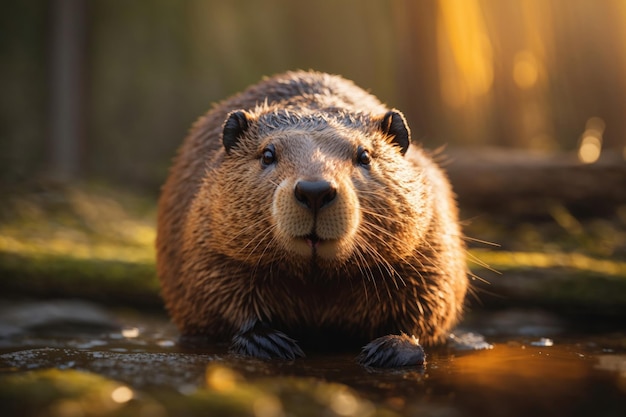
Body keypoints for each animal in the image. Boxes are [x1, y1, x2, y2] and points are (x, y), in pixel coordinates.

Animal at [157, 70, 464, 366]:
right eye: (267, 154)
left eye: (364, 155)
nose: (315, 191)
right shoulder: (203, 232)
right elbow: (211, 290)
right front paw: (267, 342)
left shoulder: (431, 235)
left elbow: (432, 300)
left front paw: (390, 348)